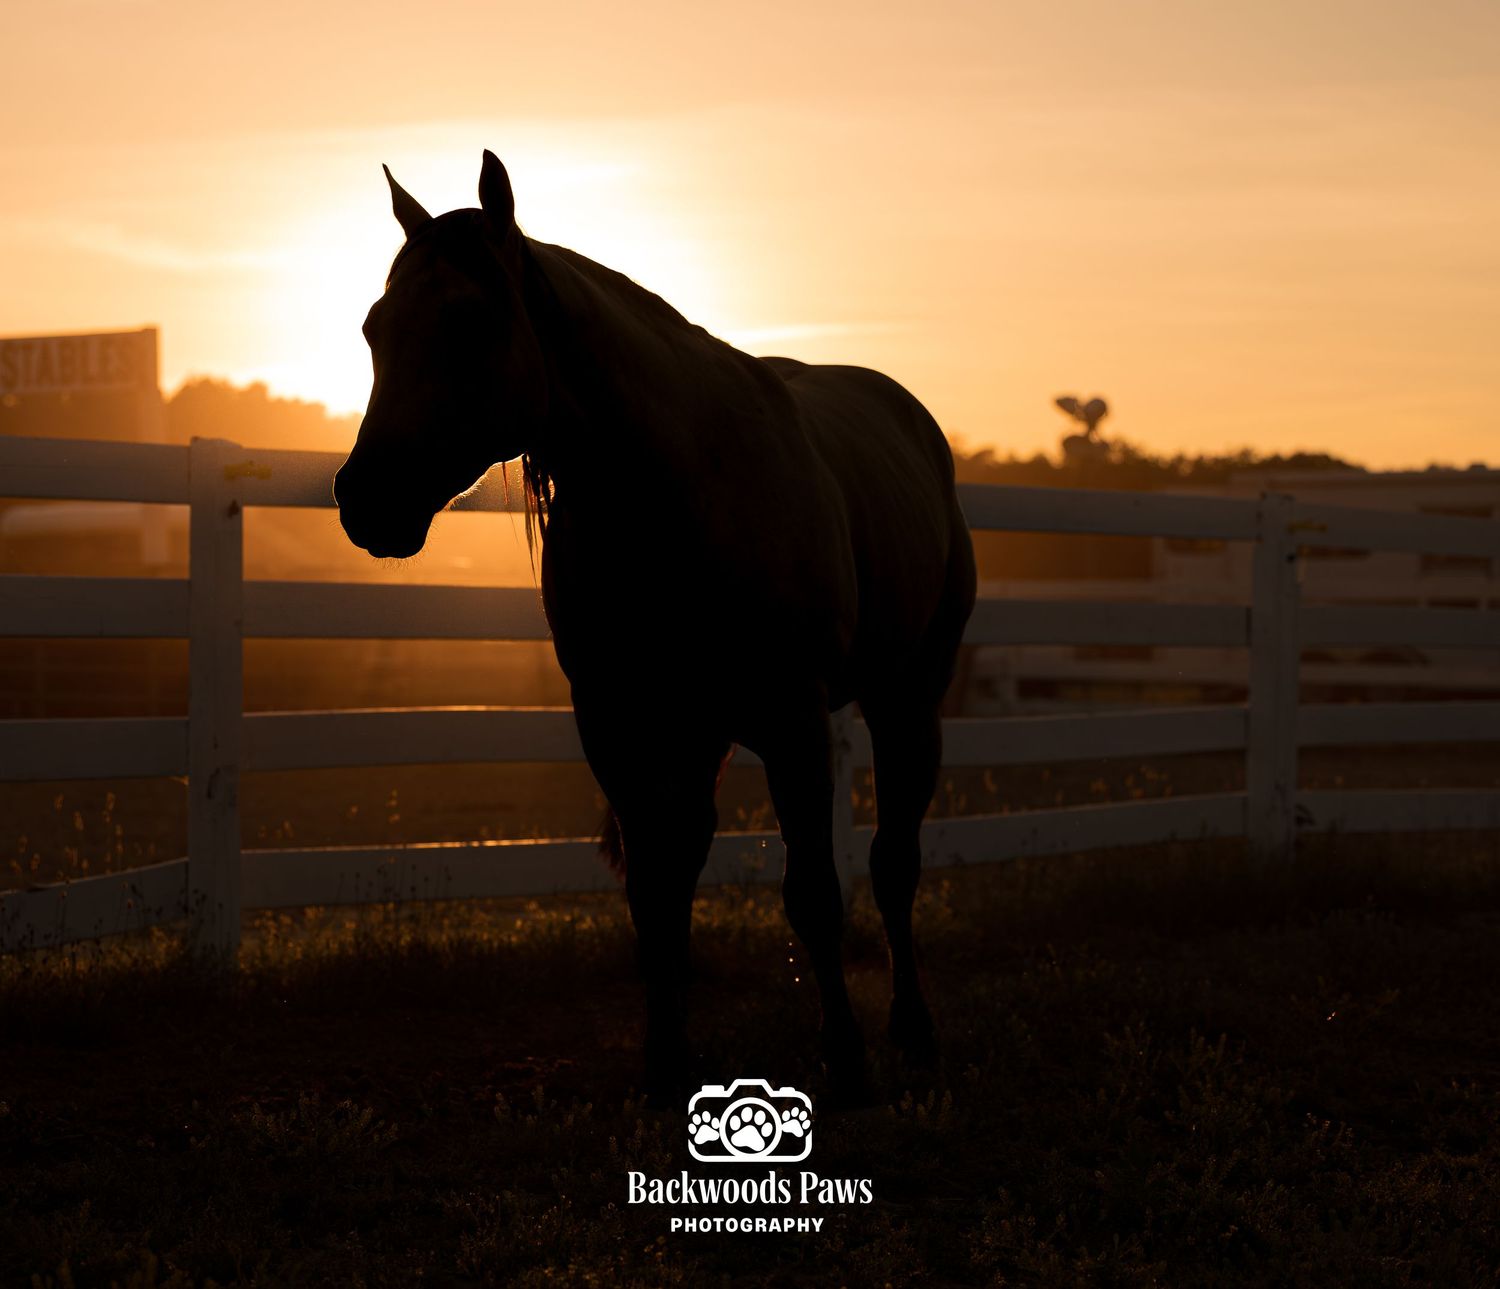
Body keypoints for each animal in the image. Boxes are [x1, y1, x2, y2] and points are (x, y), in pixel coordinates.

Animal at [333, 151, 977, 1102]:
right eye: (376, 328)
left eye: (471, 320)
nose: (366, 497)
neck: (672, 494)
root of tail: (910, 416)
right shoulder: (617, 720)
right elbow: (653, 890)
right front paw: (667, 1057)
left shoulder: (793, 721)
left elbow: (814, 892)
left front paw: (844, 1054)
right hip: (707, 727)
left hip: (908, 700)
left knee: (894, 865)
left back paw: (914, 1027)